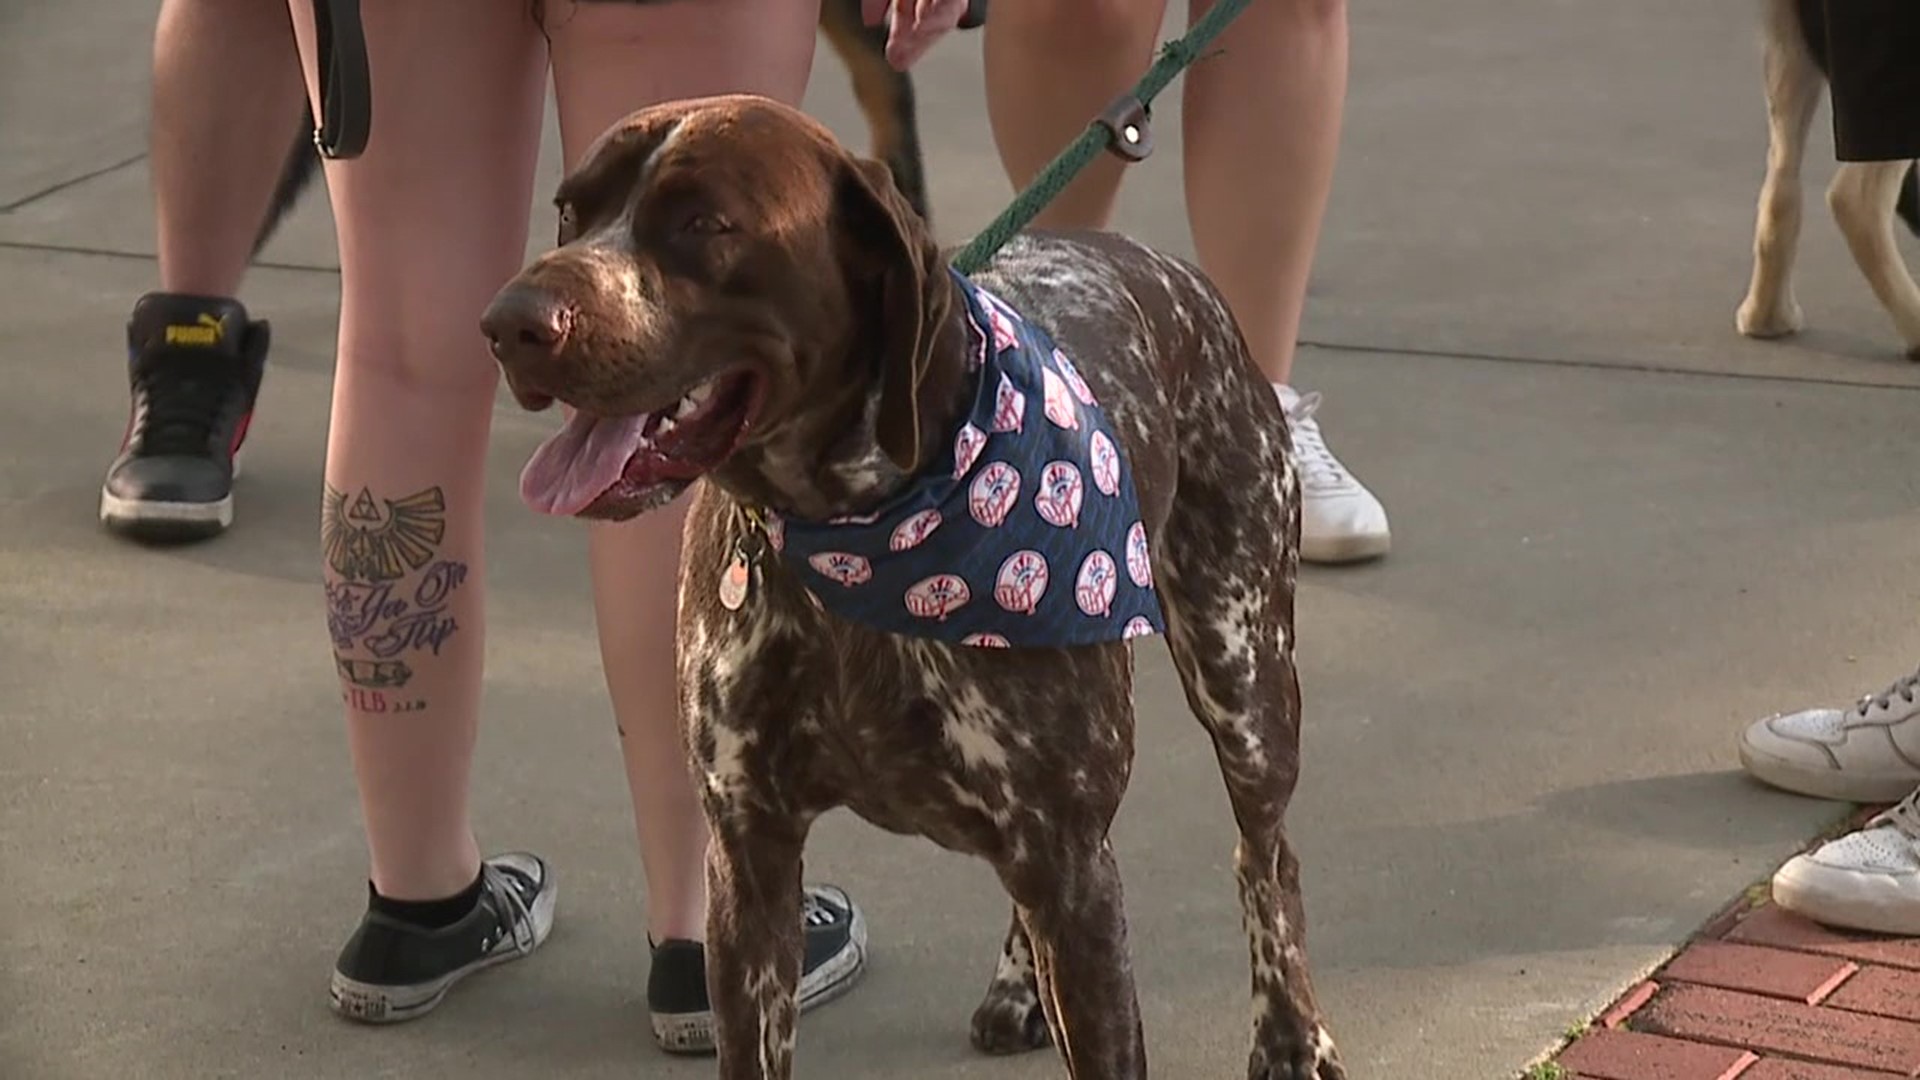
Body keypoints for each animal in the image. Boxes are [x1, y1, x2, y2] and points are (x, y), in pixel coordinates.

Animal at [480, 94, 1351, 1076]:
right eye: (568, 211)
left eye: (704, 223)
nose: (509, 323)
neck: (854, 537)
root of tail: (1174, 275)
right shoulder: (749, 868)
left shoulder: (1069, 861)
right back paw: (1019, 988)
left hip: (1245, 686)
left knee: (1265, 858)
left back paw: (1290, 1032)